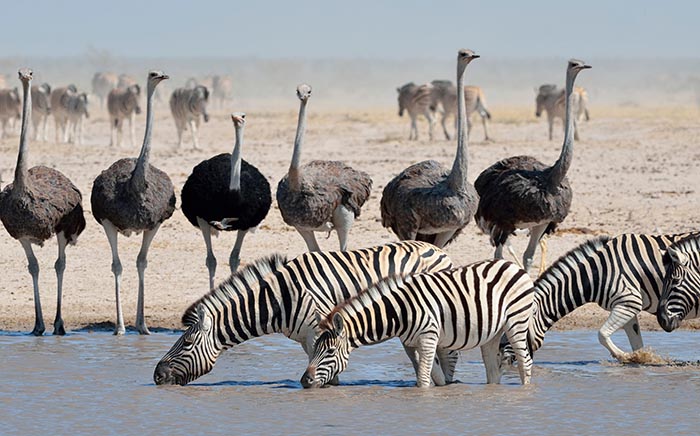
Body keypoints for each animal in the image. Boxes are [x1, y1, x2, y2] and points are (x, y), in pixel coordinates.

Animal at [153, 241, 454, 386]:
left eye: (187, 342)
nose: (156, 376)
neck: (278, 299)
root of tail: (437, 249)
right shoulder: (305, 339)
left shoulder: (318, 333)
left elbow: (328, 374)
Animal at [301, 259, 534, 389]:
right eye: (315, 348)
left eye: (330, 351)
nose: (304, 381)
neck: (399, 311)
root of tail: (513, 265)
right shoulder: (410, 343)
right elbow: (433, 376)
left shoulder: (428, 337)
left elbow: (423, 379)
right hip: (492, 334)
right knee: (493, 370)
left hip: (516, 322)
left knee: (525, 362)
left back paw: (525, 391)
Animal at [500, 232, 699, 364]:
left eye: (510, 333)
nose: (503, 360)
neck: (598, 273)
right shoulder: (626, 307)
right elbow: (636, 342)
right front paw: (641, 359)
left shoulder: (629, 302)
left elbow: (601, 334)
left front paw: (623, 356)